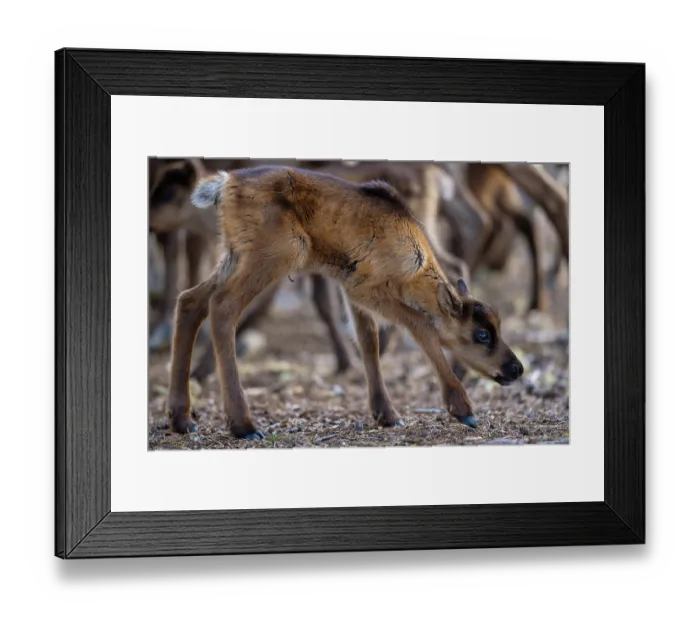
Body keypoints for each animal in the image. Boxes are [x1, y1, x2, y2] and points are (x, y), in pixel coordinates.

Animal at [166, 166, 524, 440]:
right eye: (481, 335)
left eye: (499, 326)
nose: (516, 368)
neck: (415, 263)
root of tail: (225, 184)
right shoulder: (365, 288)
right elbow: (421, 324)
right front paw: (462, 409)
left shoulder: (347, 286)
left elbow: (368, 340)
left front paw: (386, 413)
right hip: (274, 255)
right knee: (222, 308)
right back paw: (243, 425)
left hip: (233, 255)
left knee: (190, 300)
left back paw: (181, 419)